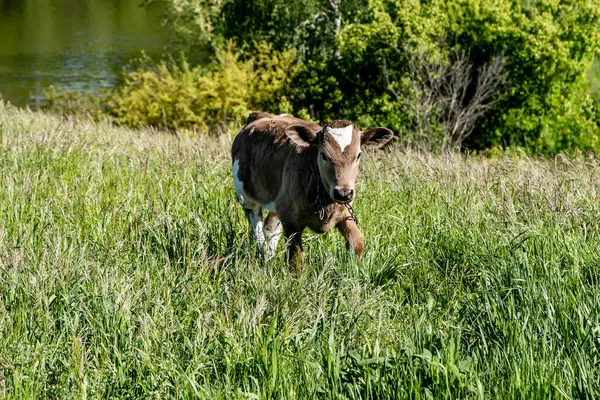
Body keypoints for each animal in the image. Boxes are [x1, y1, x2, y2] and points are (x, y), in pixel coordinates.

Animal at [231, 111, 394, 266]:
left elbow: (357, 242)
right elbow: (295, 258)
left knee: (270, 229)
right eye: (323, 155)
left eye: (358, 155)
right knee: (257, 231)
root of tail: (262, 115)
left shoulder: (344, 212)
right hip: (247, 198)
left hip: (278, 202)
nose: (343, 193)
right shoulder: (291, 222)